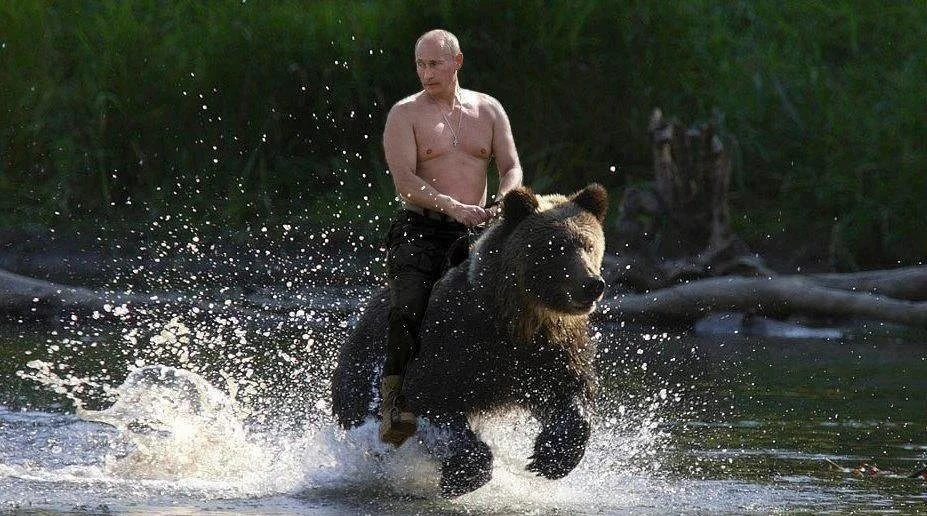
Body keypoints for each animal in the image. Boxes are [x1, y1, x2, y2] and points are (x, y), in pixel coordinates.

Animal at [331, 183, 608, 497]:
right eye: (556, 247)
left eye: (589, 245)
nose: (592, 284)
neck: (515, 319)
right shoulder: (454, 341)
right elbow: (431, 396)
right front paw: (462, 475)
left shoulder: (548, 349)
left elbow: (568, 391)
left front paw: (550, 457)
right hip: (364, 370)